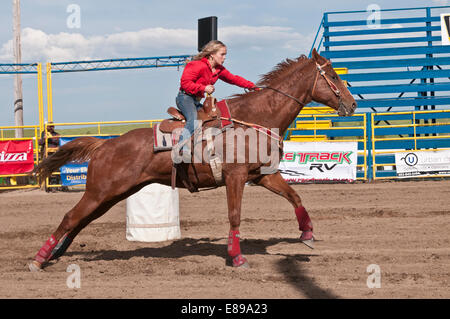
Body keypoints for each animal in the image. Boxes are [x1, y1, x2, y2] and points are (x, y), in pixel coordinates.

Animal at [29, 48, 356, 272]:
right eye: (334, 76)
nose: (352, 105)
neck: (256, 118)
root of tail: (105, 144)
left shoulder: (263, 175)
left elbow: (295, 197)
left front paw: (307, 234)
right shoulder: (235, 178)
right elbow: (234, 216)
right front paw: (237, 257)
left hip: (112, 195)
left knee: (80, 221)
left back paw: (57, 254)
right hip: (101, 191)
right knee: (70, 217)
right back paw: (38, 259)